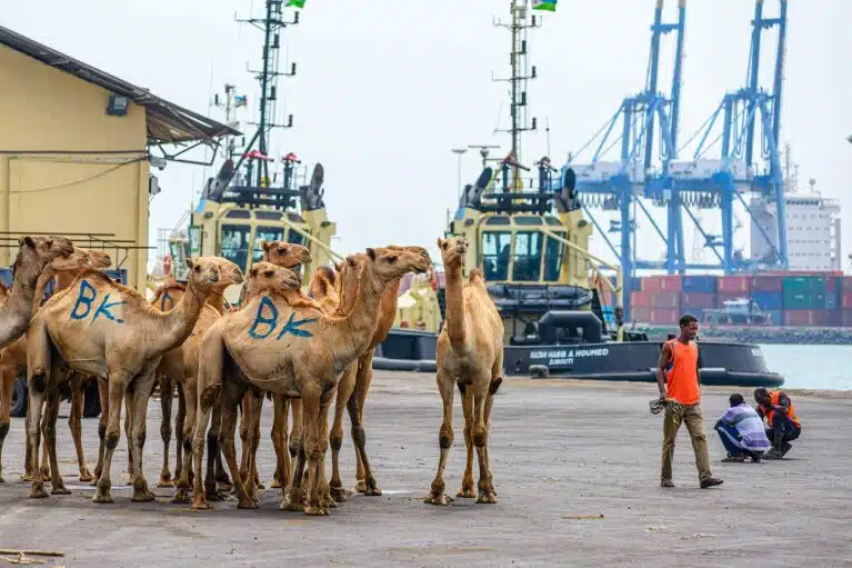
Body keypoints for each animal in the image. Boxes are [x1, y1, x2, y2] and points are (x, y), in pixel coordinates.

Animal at [26, 258, 240, 502]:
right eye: (197, 267)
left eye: (217, 265)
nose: (215, 272)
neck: (149, 329)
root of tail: (42, 309)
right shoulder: (118, 375)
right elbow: (112, 433)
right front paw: (103, 490)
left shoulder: (146, 376)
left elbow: (138, 432)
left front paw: (141, 490)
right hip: (39, 335)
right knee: (35, 404)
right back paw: (37, 487)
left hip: (60, 363)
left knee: (48, 423)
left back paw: (58, 485)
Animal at [193, 245, 432, 516]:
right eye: (390, 257)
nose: (422, 257)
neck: (334, 335)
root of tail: (217, 323)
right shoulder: (308, 388)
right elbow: (308, 443)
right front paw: (311, 503)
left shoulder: (325, 391)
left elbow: (318, 443)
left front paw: (312, 500)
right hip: (212, 362)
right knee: (205, 424)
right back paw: (203, 498)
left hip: (236, 382)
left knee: (226, 436)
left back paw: (245, 497)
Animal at [424, 236, 502, 506]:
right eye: (444, 244)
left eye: (463, 242)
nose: (460, 243)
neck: (463, 341)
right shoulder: (445, 377)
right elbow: (446, 434)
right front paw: (436, 492)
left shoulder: (482, 376)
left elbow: (480, 432)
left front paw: (487, 490)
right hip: (464, 384)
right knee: (469, 427)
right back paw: (467, 487)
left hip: (494, 376)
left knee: (484, 425)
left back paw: (489, 485)